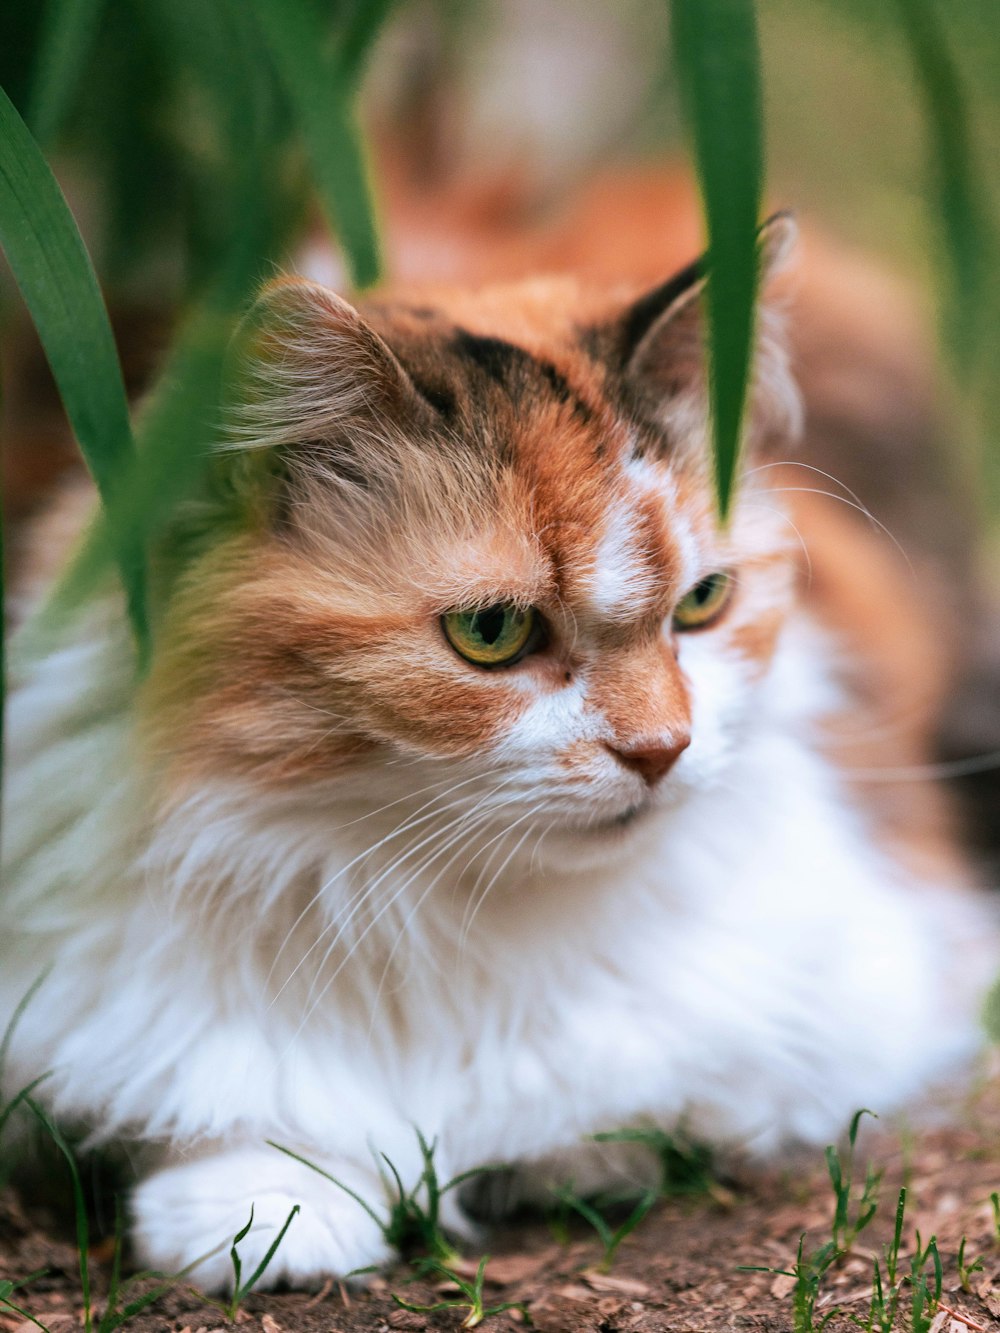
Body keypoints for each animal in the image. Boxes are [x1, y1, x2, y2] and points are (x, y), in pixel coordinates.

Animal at [0, 218, 997, 1290]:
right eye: (491, 632)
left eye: (703, 603)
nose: (663, 751)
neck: (437, 907)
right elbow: (233, 1110)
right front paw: (268, 1209)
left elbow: (650, 1093)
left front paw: (574, 1150)